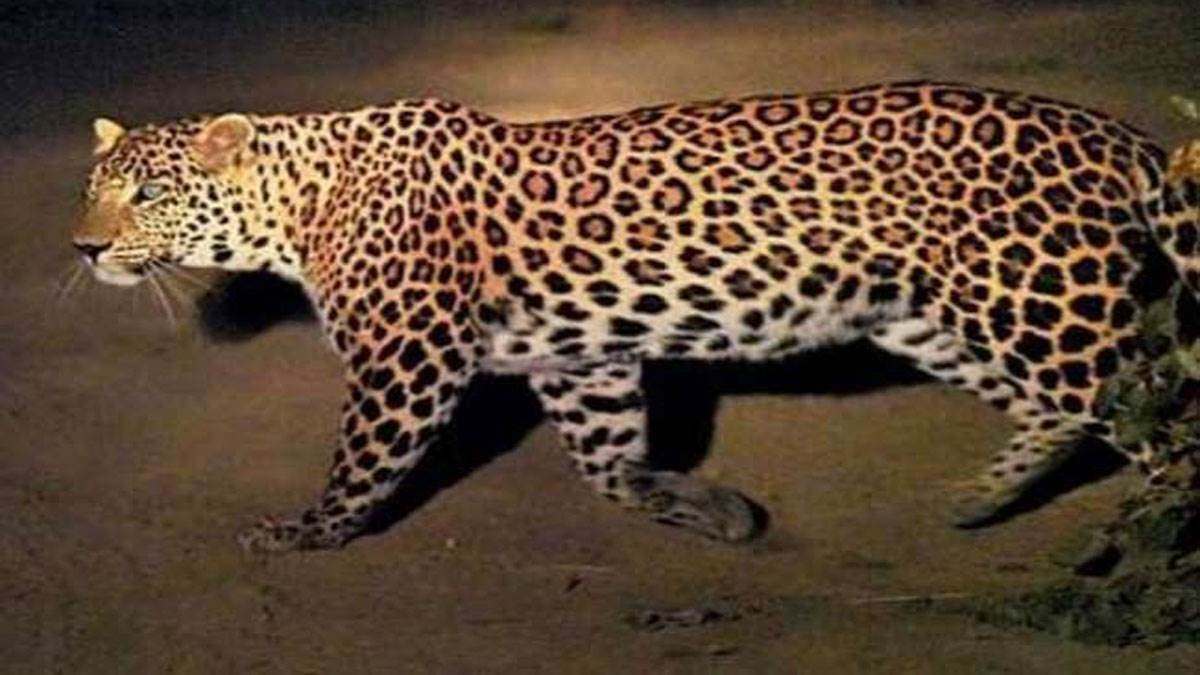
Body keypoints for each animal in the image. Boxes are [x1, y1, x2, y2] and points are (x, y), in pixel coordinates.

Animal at [72, 81, 1200, 553]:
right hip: (935, 313)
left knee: (1156, 414)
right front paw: (706, 508)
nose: (82, 247)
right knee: (1066, 413)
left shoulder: (410, 355)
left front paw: (308, 530)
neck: (297, 205)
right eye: (94, 188)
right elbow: (607, 463)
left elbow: (365, 458)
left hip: (1036, 302)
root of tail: (1116, 134)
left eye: (149, 194)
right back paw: (978, 499)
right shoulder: (582, 359)